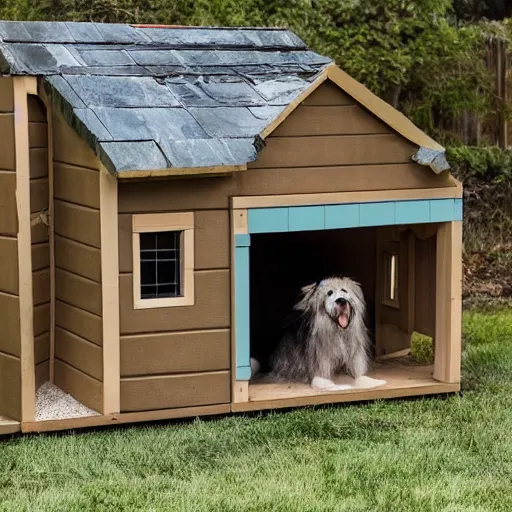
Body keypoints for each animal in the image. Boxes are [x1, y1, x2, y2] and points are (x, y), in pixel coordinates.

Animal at [250, 278, 382, 390]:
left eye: (344, 290)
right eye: (329, 293)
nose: (341, 300)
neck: (339, 334)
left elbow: (362, 378)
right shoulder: (320, 375)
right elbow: (335, 385)